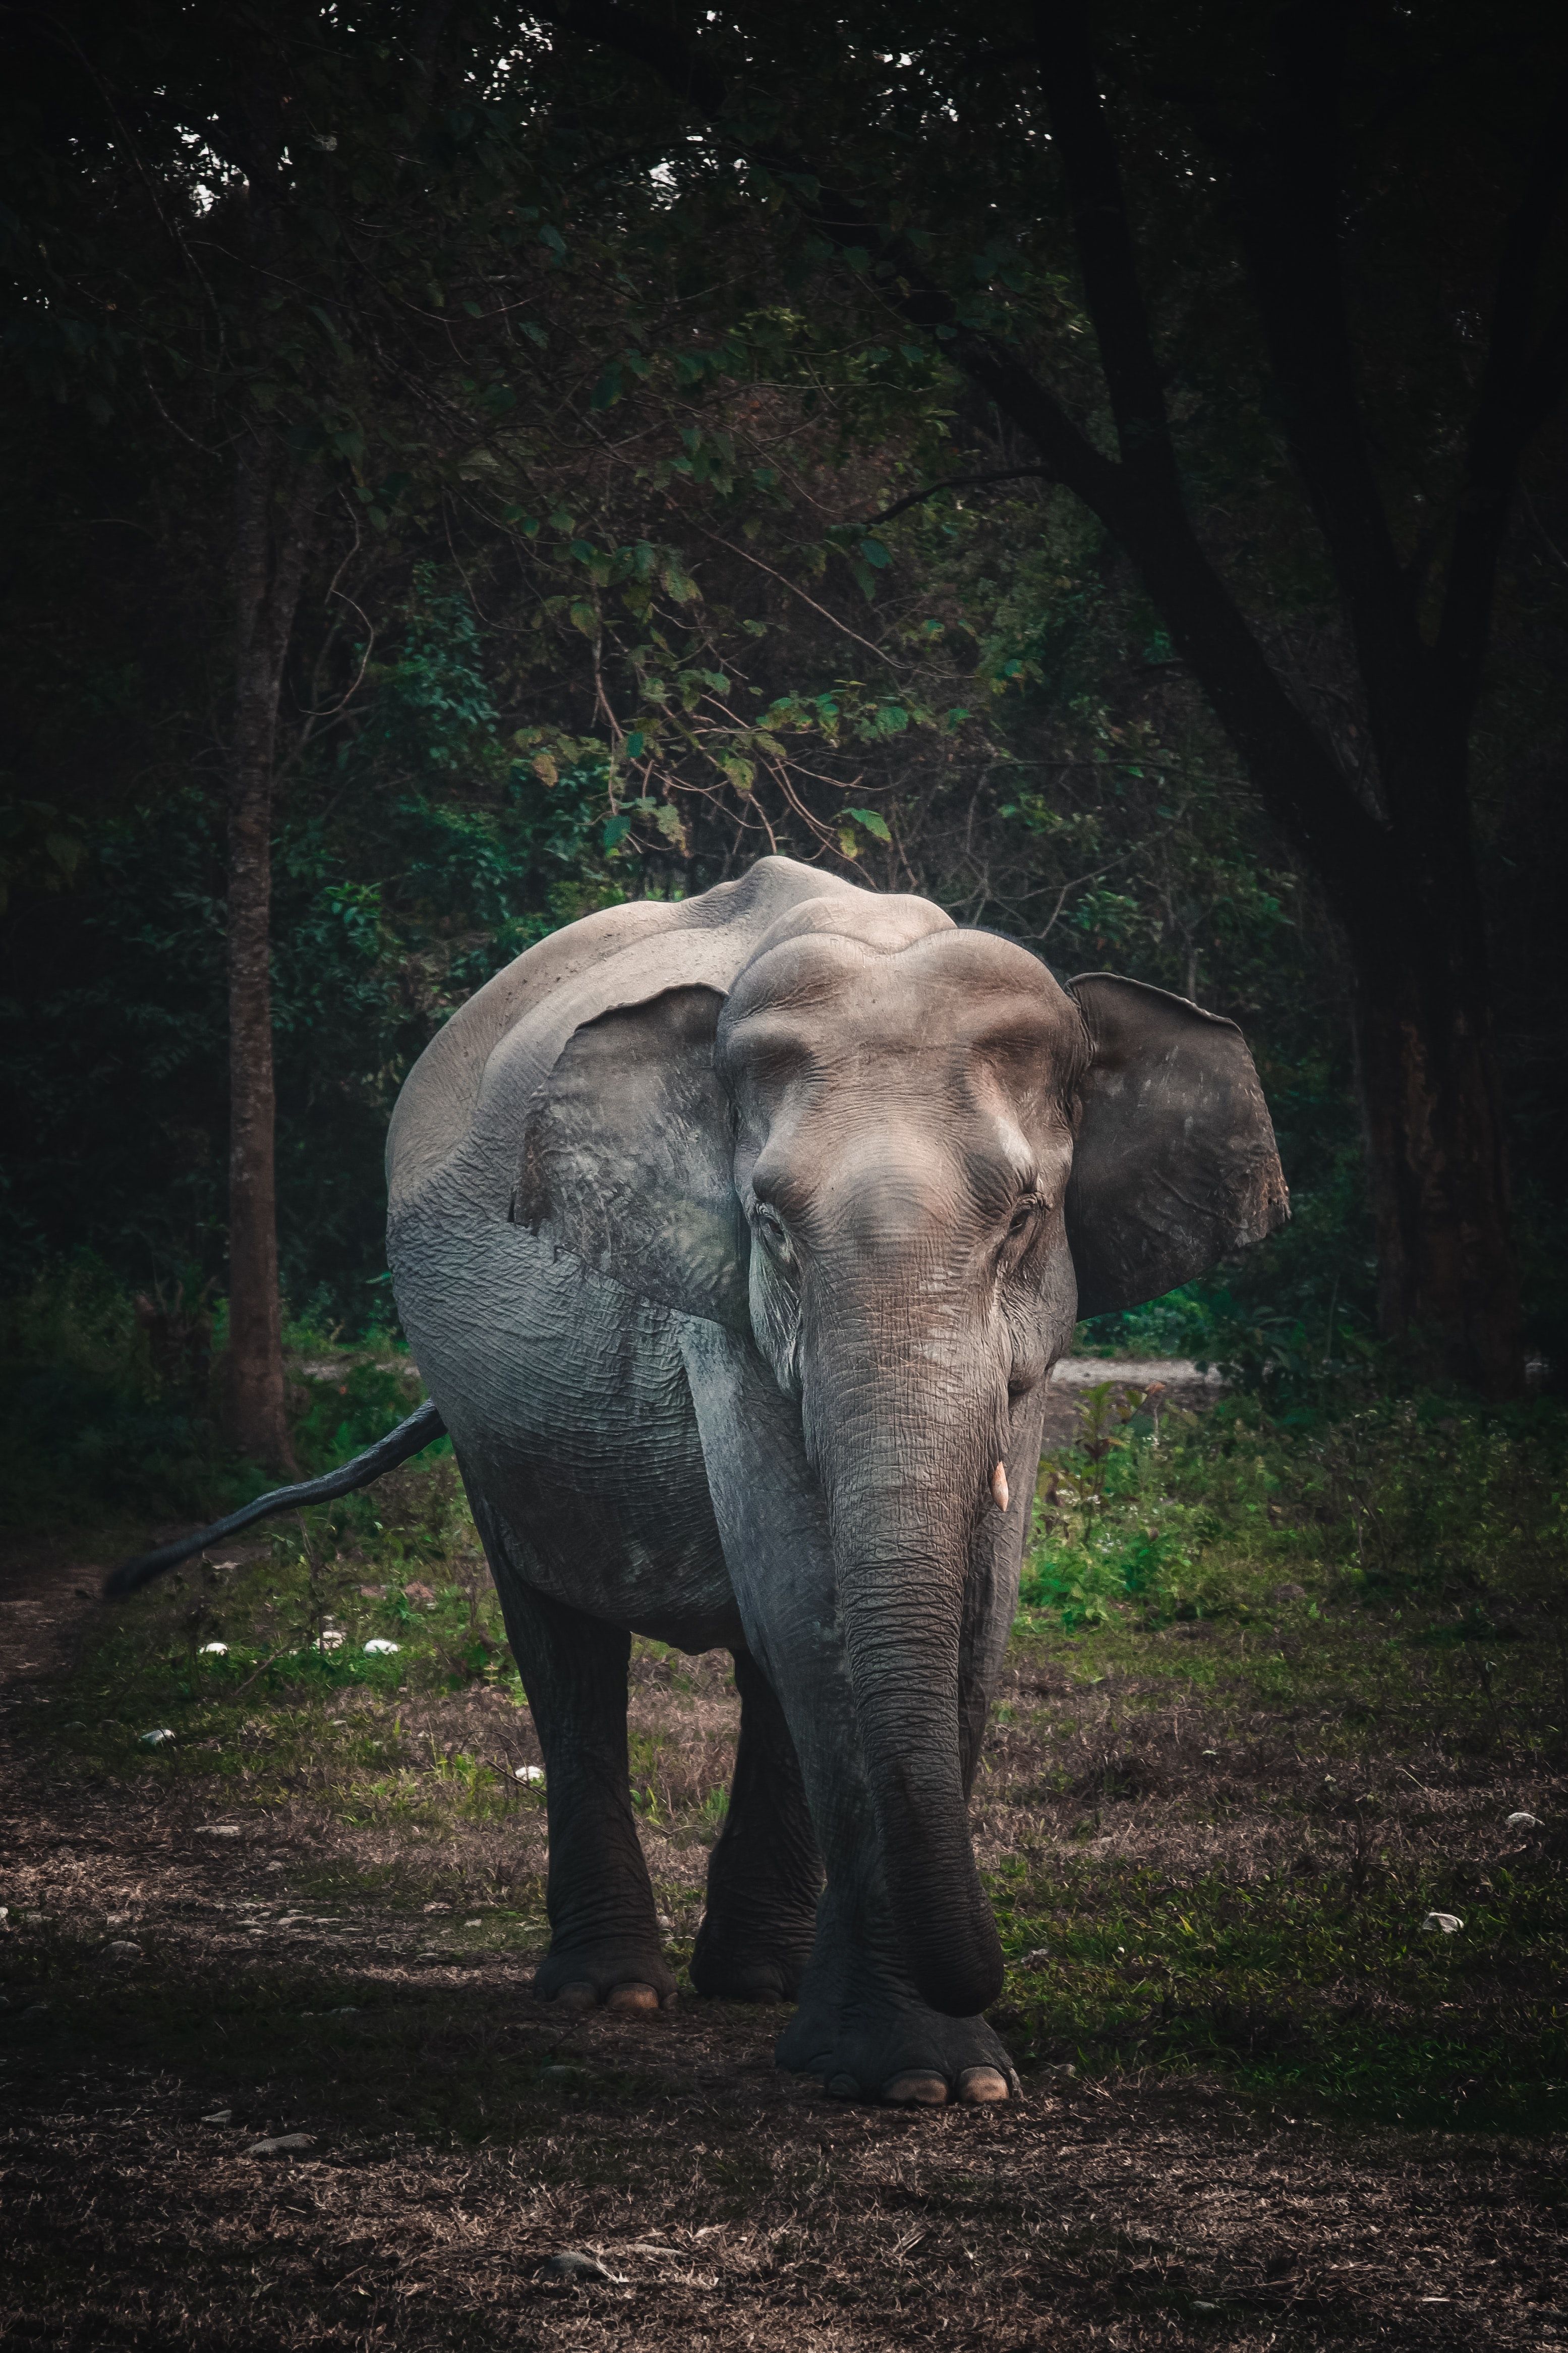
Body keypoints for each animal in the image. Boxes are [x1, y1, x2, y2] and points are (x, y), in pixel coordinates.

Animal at [110, 854, 1287, 2106]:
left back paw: (756, 1984)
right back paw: (611, 1992)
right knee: (560, 1640)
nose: (986, 1969)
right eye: (769, 1227)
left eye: (1025, 1220)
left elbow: (970, 1617)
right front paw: (916, 2076)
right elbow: (807, 1607)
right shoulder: (718, 1322)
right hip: (486, 1421)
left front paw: (949, 2080)